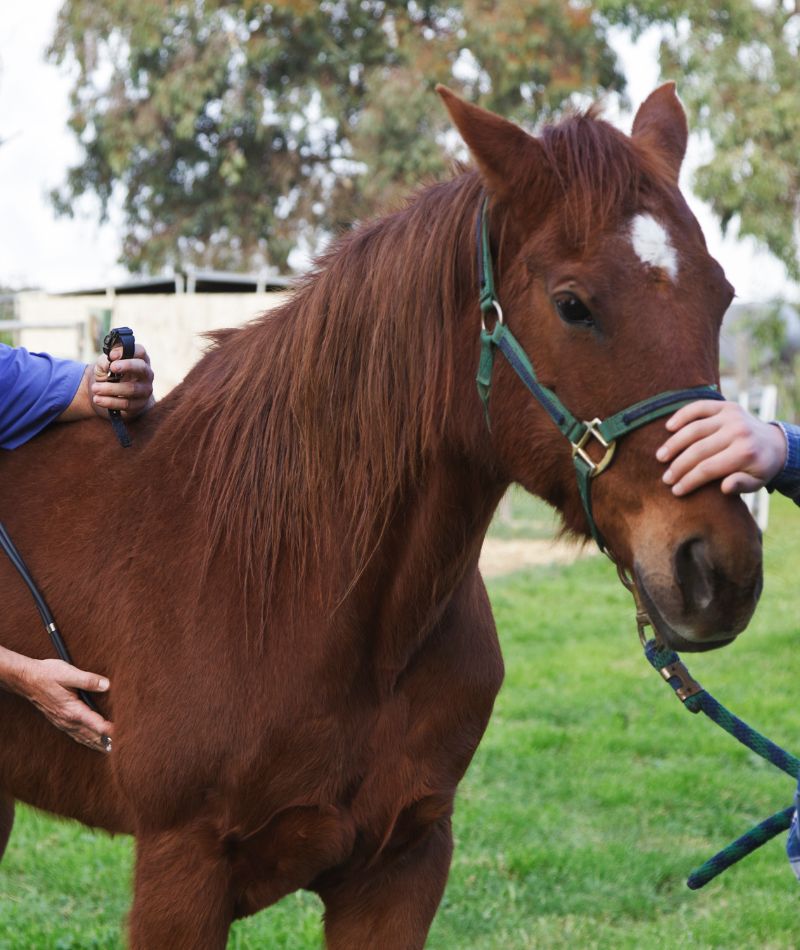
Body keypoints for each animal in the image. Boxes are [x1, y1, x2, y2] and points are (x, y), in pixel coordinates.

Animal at [0, 85, 764, 948]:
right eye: (573, 305)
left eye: (721, 295)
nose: (718, 570)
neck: (295, 587)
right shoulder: (179, 875)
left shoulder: (402, 865)